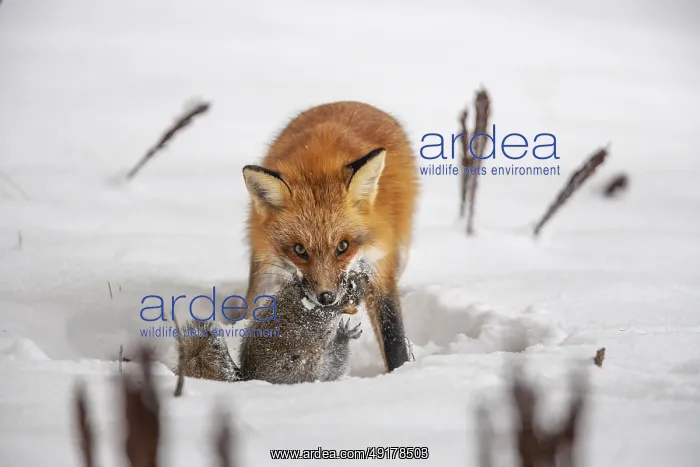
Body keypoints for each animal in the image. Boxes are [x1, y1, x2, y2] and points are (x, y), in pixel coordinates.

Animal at [241, 101, 419, 373]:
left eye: (343, 246)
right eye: (299, 250)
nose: (326, 298)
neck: (318, 163)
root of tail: (348, 102)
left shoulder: (379, 266)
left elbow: (393, 337)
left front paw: (400, 373)